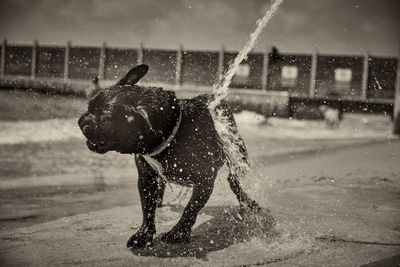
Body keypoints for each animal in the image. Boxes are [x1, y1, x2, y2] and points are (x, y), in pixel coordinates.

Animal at [78, 65, 266, 249]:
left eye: (105, 120)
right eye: (88, 106)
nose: (82, 120)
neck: (171, 136)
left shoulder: (205, 180)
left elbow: (191, 208)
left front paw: (178, 233)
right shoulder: (146, 179)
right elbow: (147, 207)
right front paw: (144, 234)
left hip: (238, 153)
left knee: (233, 180)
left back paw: (248, 202)